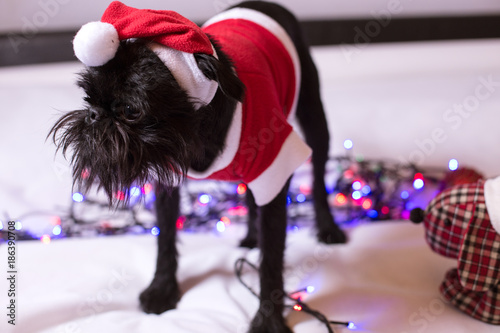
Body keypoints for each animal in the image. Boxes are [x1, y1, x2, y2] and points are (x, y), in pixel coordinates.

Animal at [50, 1, 348, 330]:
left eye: (130, 110)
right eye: (88, 98)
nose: (93, 115)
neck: (197, 138)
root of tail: (264, 4)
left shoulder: (274, 168)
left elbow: (271, 257)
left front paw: (268, 320)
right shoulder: (167, 181)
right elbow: (165, 238)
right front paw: (162, 288)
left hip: (313, 116)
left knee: (318, 177)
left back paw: (328, 228)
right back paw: (251, 236)